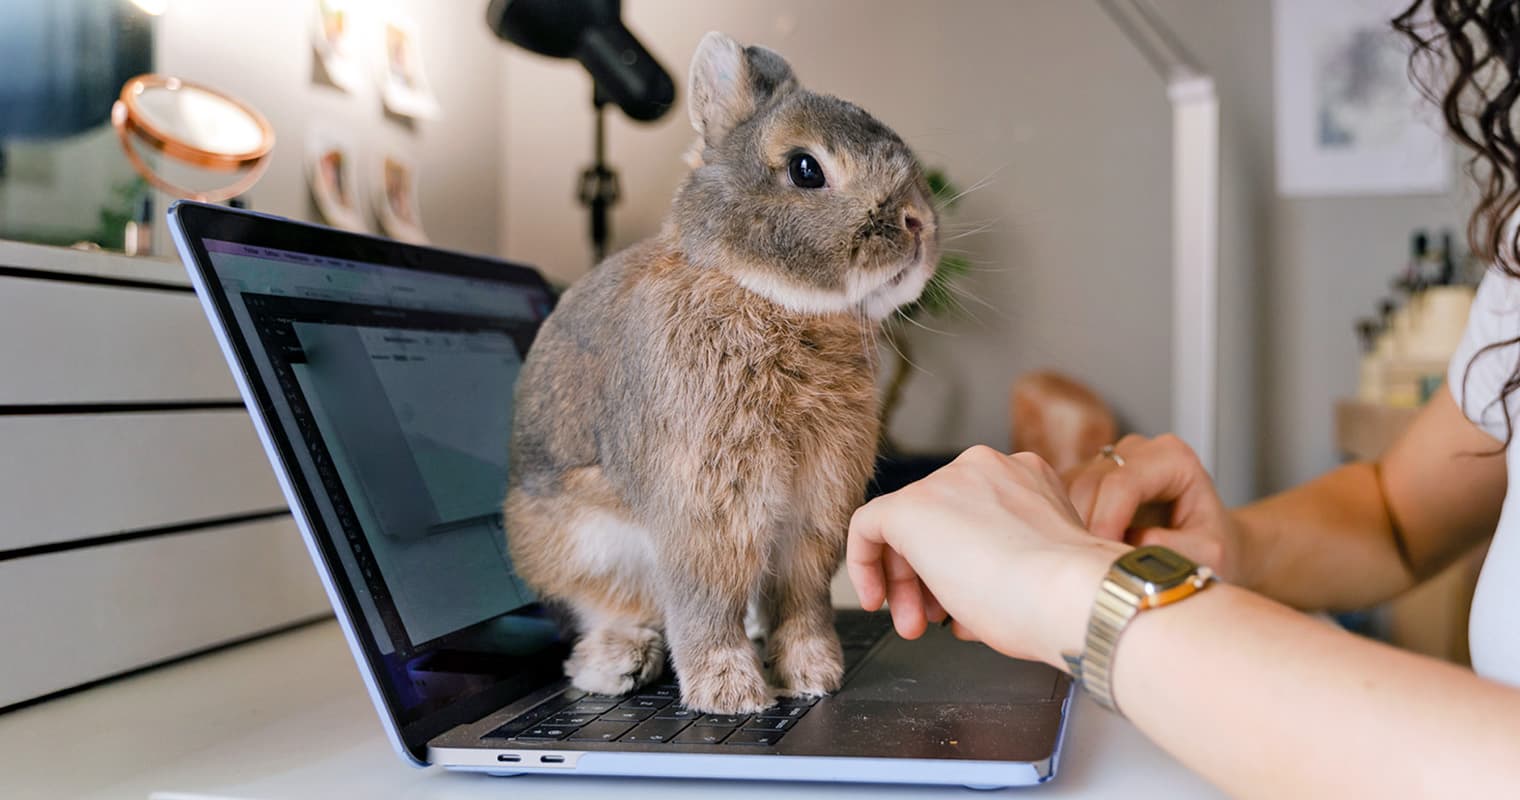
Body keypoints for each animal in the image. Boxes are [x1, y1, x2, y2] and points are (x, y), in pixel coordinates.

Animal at [504, 31, 938, 714]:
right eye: (806, 169)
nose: (920, 221)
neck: (766, 296)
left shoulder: (813, 510)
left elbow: (802, 599)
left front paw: (814, 676)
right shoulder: (704, 503)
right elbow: (705, 599)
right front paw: (730, 694)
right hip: (585, 545)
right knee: (615, 606)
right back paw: (619, 662)